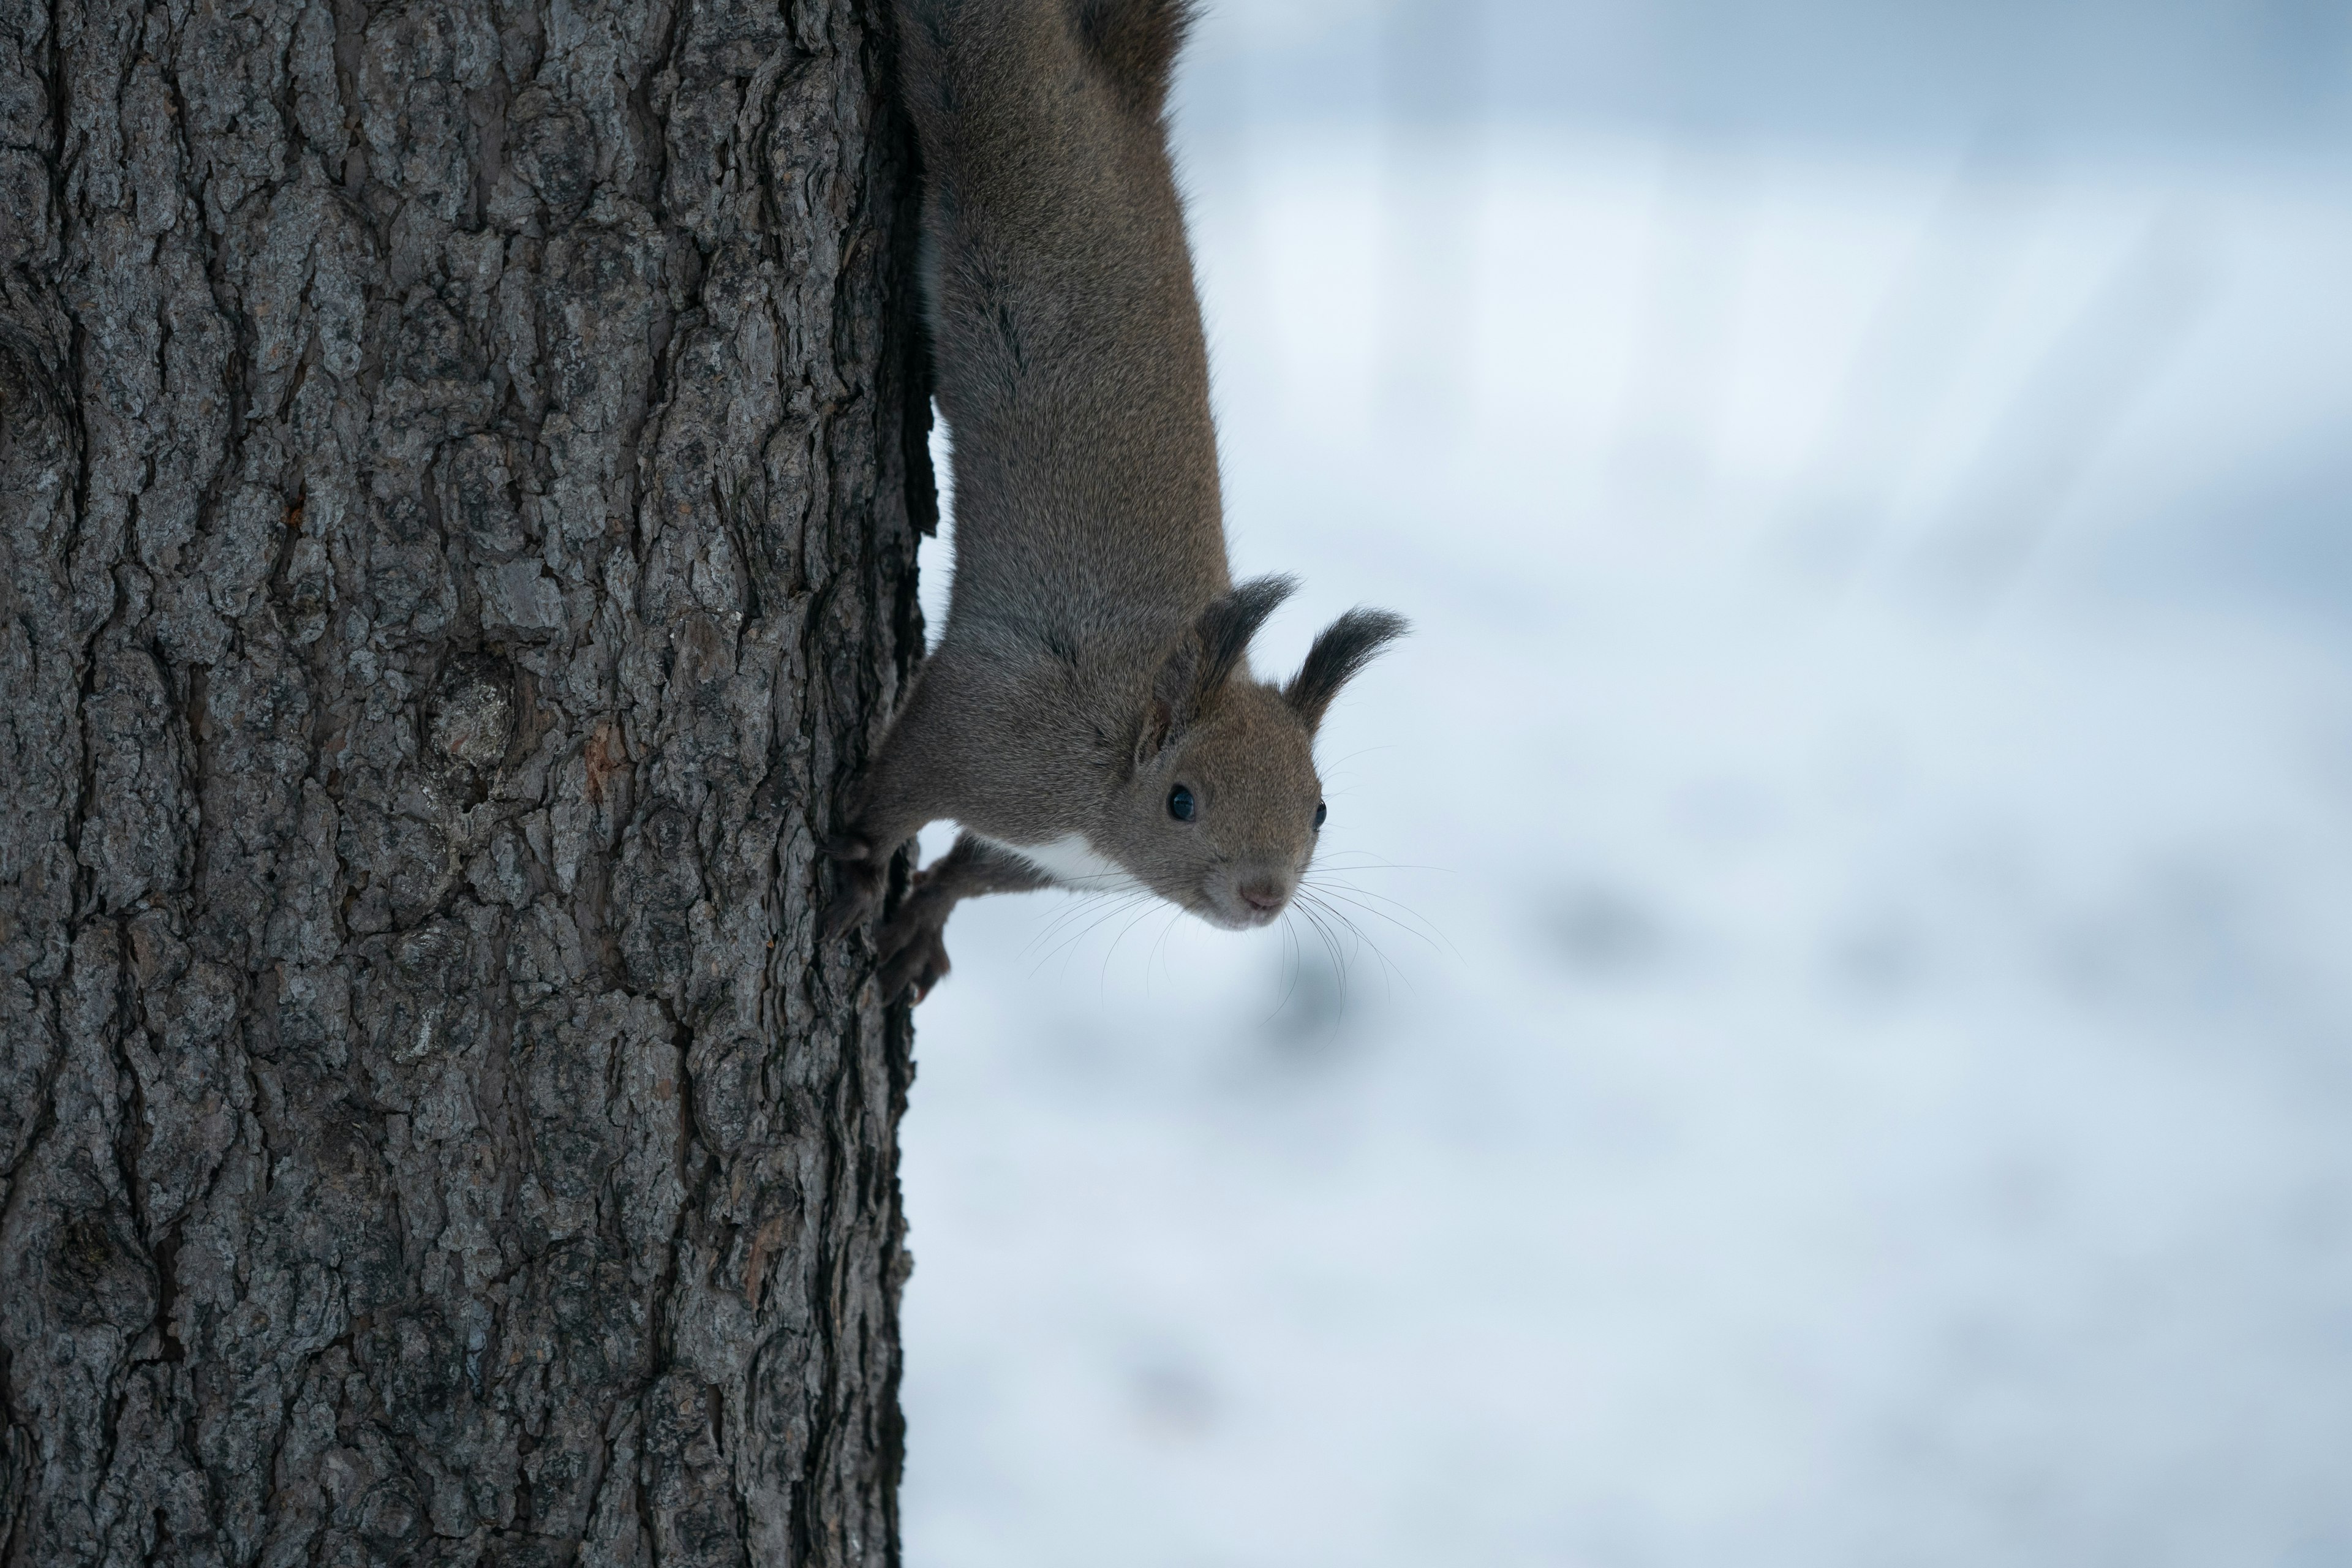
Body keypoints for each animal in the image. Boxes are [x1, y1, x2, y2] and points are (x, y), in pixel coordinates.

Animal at [832, 0, 1401, 1006]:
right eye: (1182, 801)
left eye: (1321, 808)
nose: (1264, 896)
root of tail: (1118, 107)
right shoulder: (989, 729)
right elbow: (897, 785)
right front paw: (863, 866)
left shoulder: (1047, 856)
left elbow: (977, 870)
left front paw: (926, 918)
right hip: (991, 94)